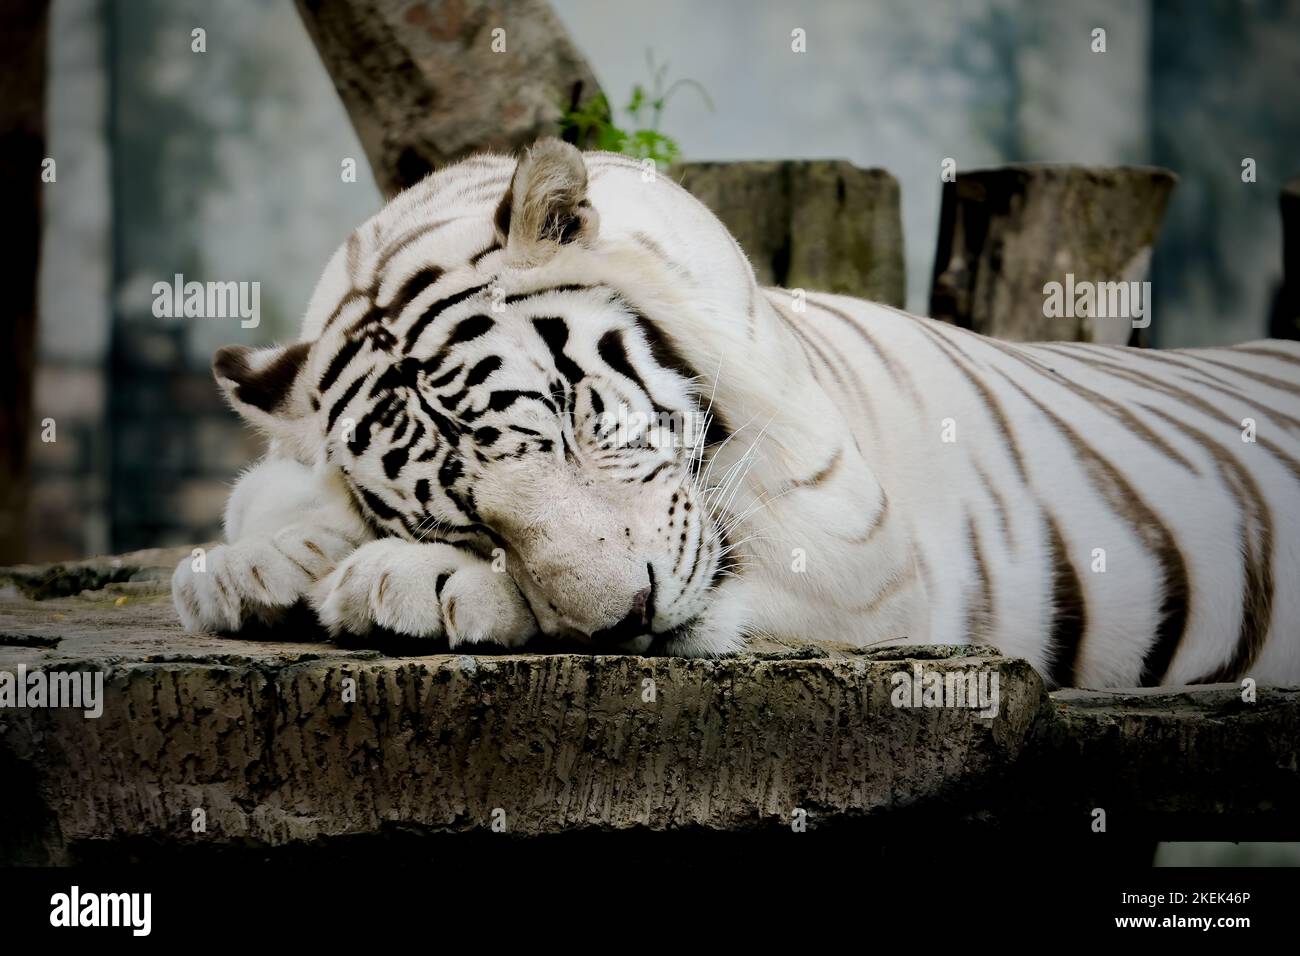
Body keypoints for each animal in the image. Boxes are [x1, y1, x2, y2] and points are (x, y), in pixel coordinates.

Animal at [172, 137, 1300, 689]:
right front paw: (242, 570)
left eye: (573, 422)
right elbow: (267, 498)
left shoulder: (860, 553)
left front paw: (398, 583)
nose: (624, 618)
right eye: (467, 513)